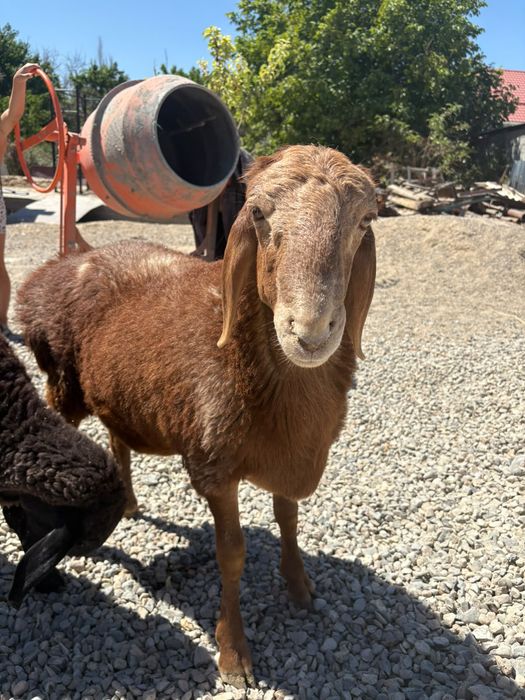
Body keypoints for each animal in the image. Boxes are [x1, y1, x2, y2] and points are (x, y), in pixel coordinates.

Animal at [16, 145, 377, 686]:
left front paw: (299, 587)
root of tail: (64, 262)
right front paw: (234, 654)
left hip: (118, 389)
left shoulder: (288, 456)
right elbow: (232, 554)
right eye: (257, 213)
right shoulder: (214, 466)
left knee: (117, 438)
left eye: (364, 220)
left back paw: (129, 504)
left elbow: (289, 521)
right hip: (62, 382)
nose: (311, 331)